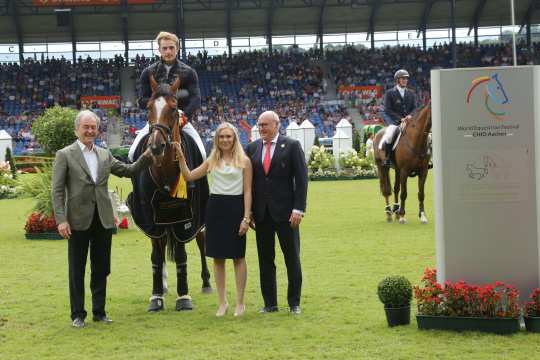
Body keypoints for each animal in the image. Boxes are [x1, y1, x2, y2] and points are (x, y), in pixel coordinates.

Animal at [126, 74, 211, 310]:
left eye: (174, 108)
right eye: (148, 107)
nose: (156, 146)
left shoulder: (185, 215)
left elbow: (181, 255)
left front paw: (184, 298)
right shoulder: (150, 217)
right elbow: (156, 256)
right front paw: (156, 297)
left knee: (201, 242)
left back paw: (207, 282)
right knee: (162, 245)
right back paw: (163, 285)